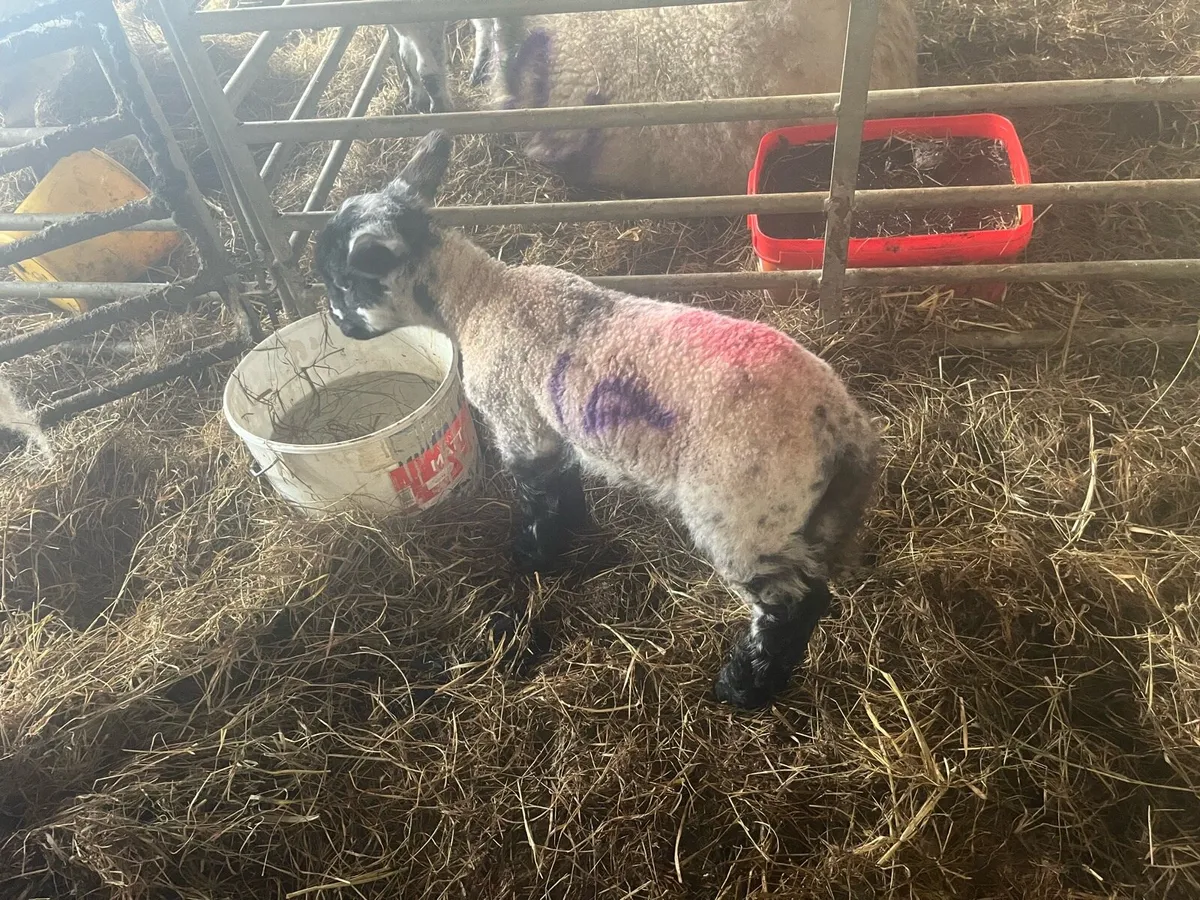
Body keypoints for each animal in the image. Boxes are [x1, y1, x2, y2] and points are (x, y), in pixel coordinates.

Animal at [313, 131, 880, 710]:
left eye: (344, 282)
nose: (336, 322)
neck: (477, 300)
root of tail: (841, 424)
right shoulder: (551, 422)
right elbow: (563, 480)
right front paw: (570, 531)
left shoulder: (517, 418)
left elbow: (537, 491)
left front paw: (532, 553)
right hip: (808, 513)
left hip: (743, 510)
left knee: (791, 603)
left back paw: (742, 686)